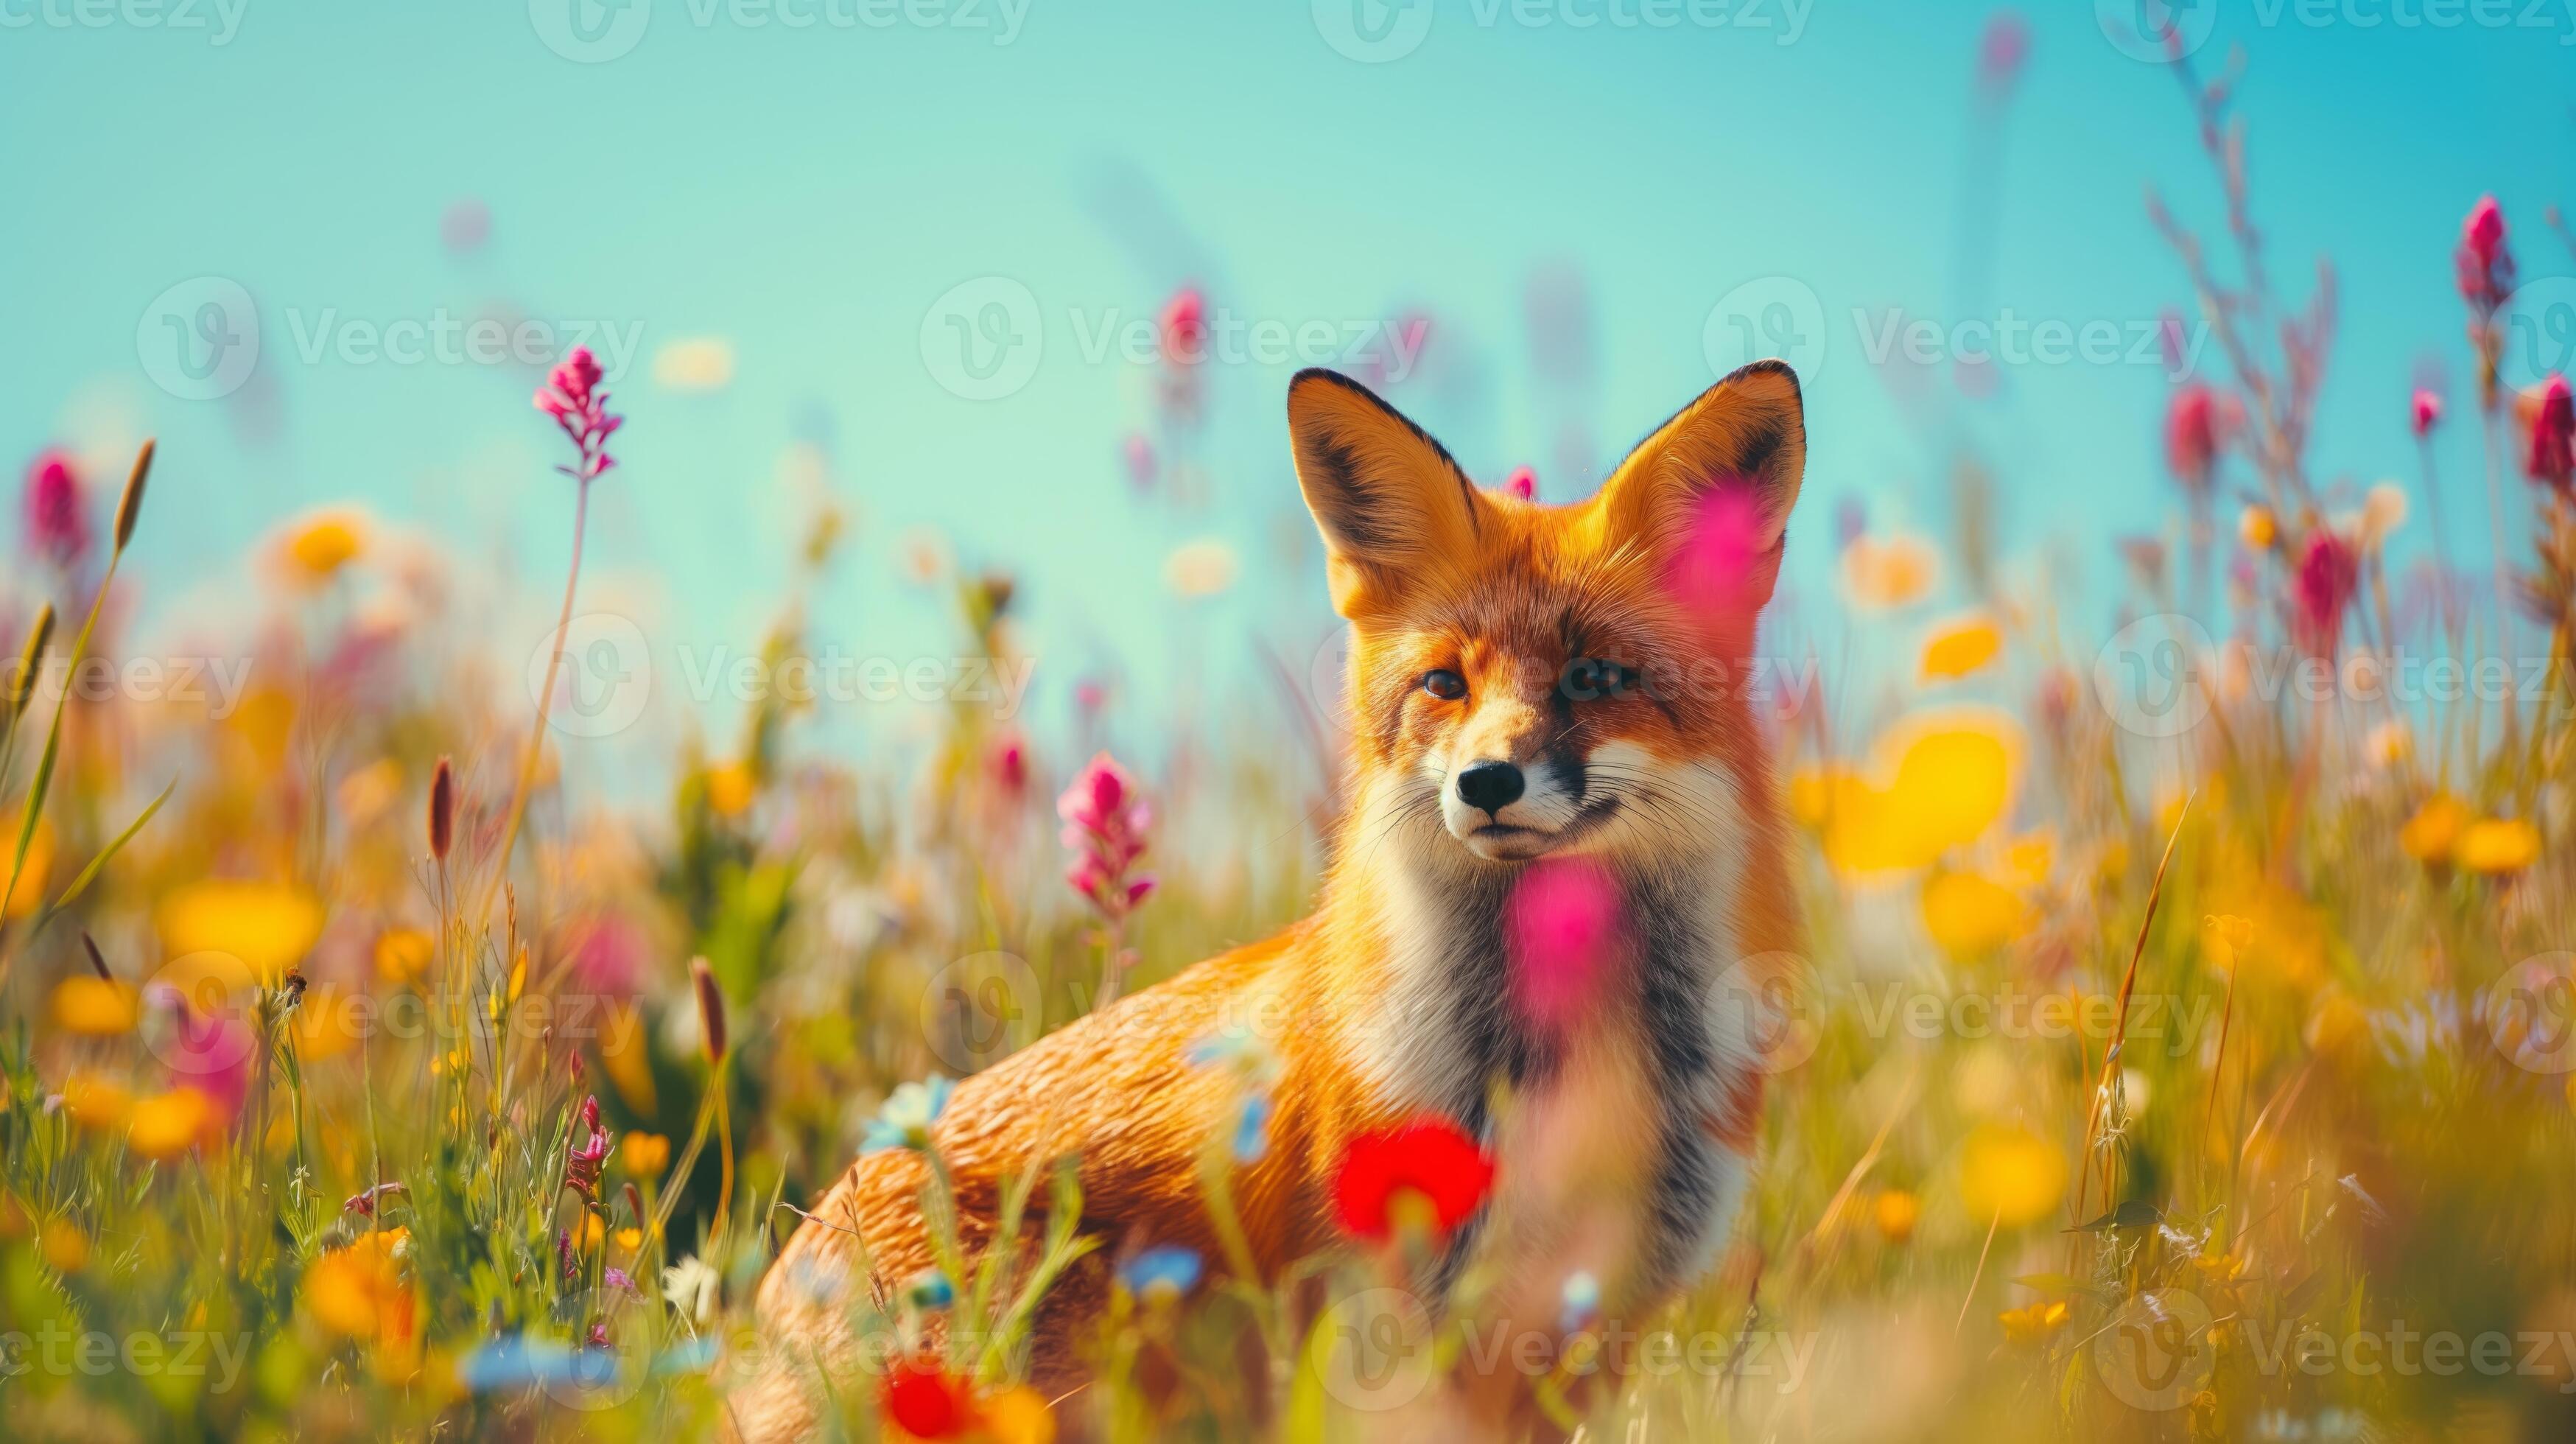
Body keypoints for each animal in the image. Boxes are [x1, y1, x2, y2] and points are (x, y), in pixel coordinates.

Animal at [733, 360, 1808, 1439]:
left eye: (1592, 677)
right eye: (1444, 684)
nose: (1487, 783)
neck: (1562, 1067)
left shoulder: (1588, 1323)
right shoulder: (1381, 1303)